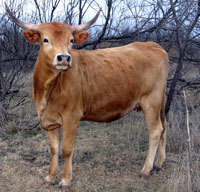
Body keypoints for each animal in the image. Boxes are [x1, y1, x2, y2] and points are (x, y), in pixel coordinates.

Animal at [5, 3, 167, 190]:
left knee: (155, 131)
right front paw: (50, 177)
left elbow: (66, 149)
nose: (63, 58)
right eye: (45, 39)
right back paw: (159, 163)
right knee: (164, 127)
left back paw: (146, 169)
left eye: (71, 40)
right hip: (160, 103)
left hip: (151, 101)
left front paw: (65, 180)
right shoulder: (50, 120)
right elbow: (54, 149)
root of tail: (153, 45)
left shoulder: (71, 116)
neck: (48, 90)